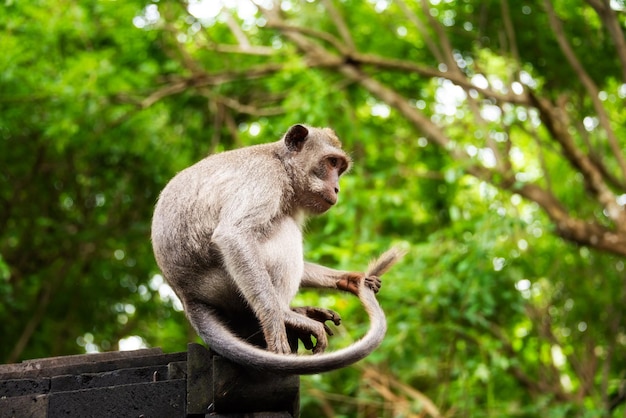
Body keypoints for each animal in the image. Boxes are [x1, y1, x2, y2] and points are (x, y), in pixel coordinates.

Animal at [151, 125, 404, 376]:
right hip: (222, 284)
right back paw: (288, 313)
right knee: (284, 228)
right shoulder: (265, 178)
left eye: (339, 167)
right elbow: (234, 234)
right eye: (331, 162)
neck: (282, 165)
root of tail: (187, 297)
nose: (337, 188)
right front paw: (276, 319)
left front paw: (352, 279)